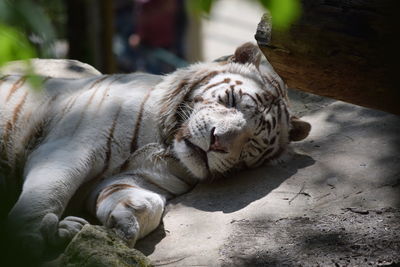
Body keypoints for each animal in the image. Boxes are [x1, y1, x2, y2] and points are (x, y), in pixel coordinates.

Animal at [0, 43, 310, 260]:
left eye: (251, 141)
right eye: (230, 100)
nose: (217, 141)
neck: (165, 145)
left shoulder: (140, 178)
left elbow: (145, 201)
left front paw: (122, 224)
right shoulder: (69, 148)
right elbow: (49, 192)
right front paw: (26, 239)